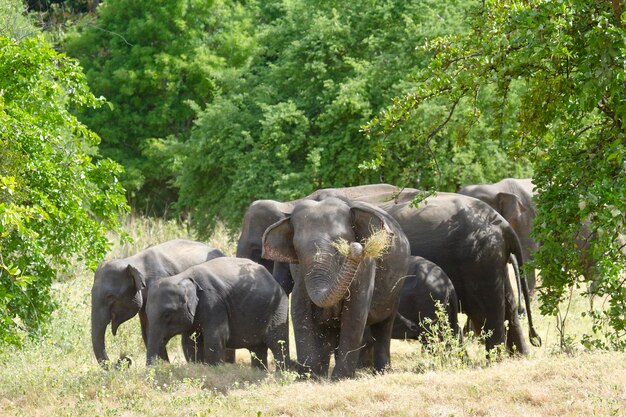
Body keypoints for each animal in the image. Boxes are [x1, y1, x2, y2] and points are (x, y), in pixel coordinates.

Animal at [260, 197, 410, 378]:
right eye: (297, 249)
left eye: (340, 243)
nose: (355, 247)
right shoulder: (301, 272)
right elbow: (299, 308)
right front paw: (308, 377)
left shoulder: (366, 266)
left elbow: (355, 311)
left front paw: (340, 378)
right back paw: (323, 373)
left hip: (396, 291)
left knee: (384, 325)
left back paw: (381, 372)